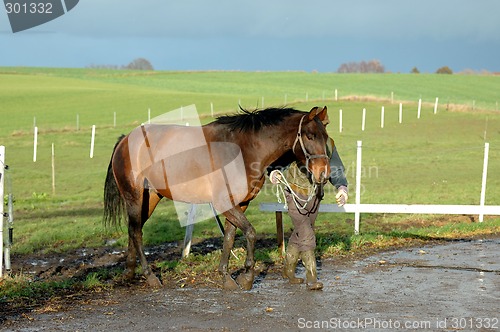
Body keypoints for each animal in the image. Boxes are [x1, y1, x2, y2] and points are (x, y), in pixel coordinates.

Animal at [104, 107, 332, 290]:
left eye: (325, 136)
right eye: (310, 136)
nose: (323, 174)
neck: (244, 149)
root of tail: (125, 140)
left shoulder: (240, 203)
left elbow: (229, 237)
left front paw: (226, 276)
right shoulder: (224, 203)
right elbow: (250, 233)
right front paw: (247, 277)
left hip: (150, 198)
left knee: (134, 230)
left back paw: (130, 273)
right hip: (134, 198)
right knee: (136, 232)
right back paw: (150, 276)